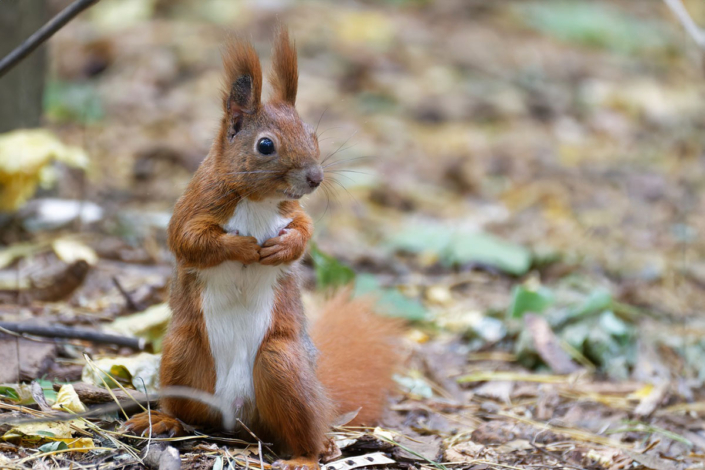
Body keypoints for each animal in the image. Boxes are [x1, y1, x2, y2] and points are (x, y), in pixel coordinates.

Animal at [123, 28, 398, 470]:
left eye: (313, 134)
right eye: (265, 145)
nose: (315, 177)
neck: (257, 199)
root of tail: (236, 416)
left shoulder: (294, 211)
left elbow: (304, 233)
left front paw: (281, 248)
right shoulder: (194, 207)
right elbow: (189, 240)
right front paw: (242, 247)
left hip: (281, 363)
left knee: (303, 431)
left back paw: (307, 455)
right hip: (183, 352)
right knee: (186, 410)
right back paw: (164, 420)